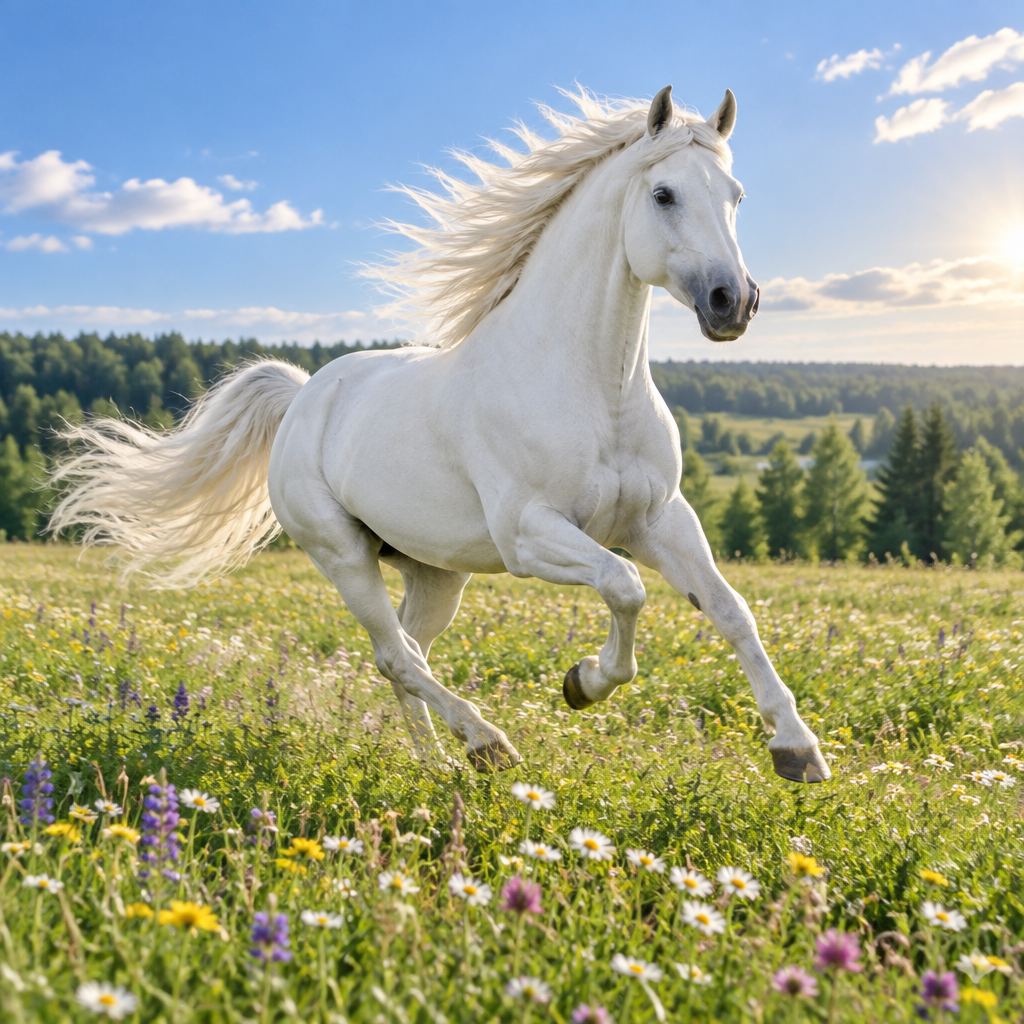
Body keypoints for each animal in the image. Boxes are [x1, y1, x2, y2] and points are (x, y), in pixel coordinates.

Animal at [49, 86, 831, 784]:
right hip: (342, 554)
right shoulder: (530, 535)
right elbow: (626, 586)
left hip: (435, 572)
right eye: (664, 194)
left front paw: (797, 750)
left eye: (736, 195)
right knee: (394, 653)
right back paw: (486, 744)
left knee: (405, 654)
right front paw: (583, 682)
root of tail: (304, 396)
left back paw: (435, 765)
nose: (734, 302)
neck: (594, 390)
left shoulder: (661, 519)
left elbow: (731, 611)